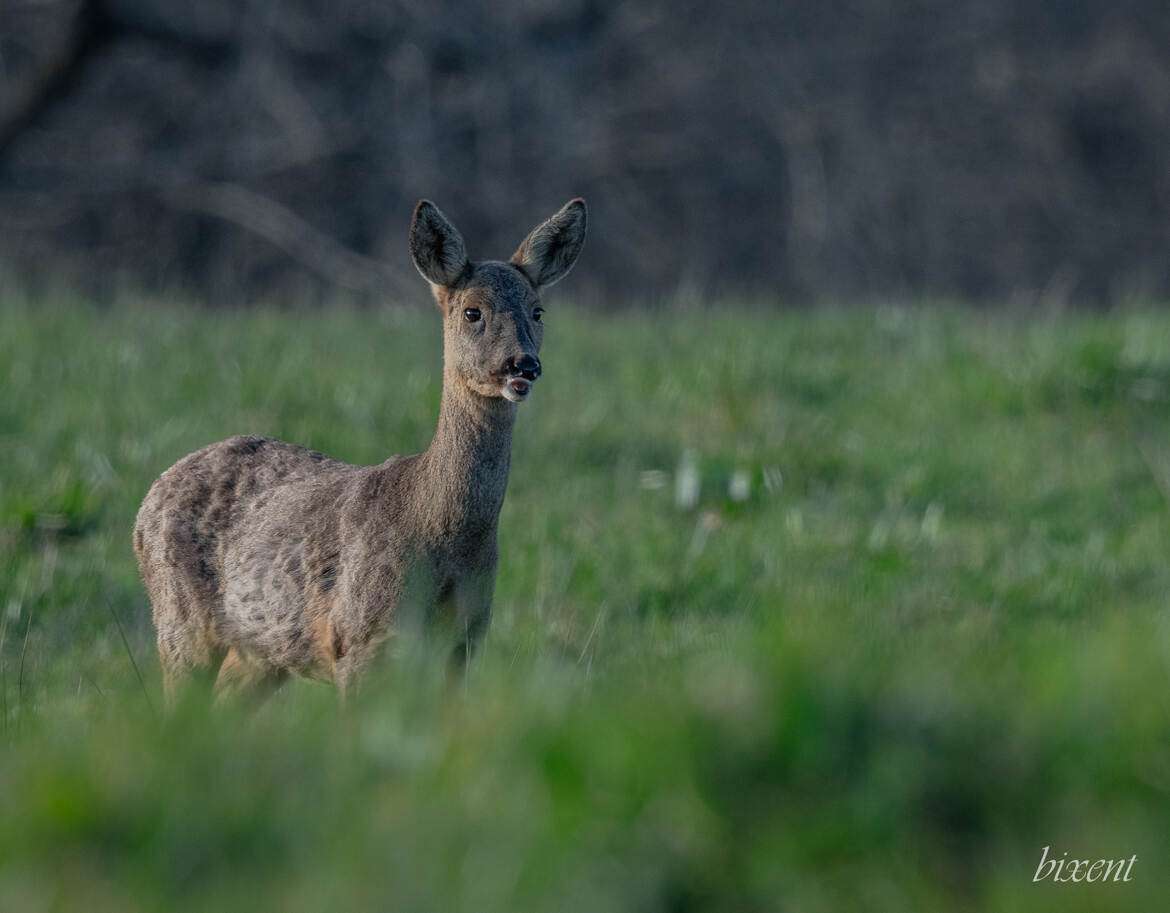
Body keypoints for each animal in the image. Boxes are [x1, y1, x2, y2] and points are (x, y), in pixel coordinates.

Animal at [132, 196, 585, 702]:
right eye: (472, 311)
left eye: (538, 311)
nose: (522, 365)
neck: (440, 531)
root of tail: (150, 496)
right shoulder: (356, 637)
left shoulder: (464, 640)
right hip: (180, 621)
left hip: (259, 652)